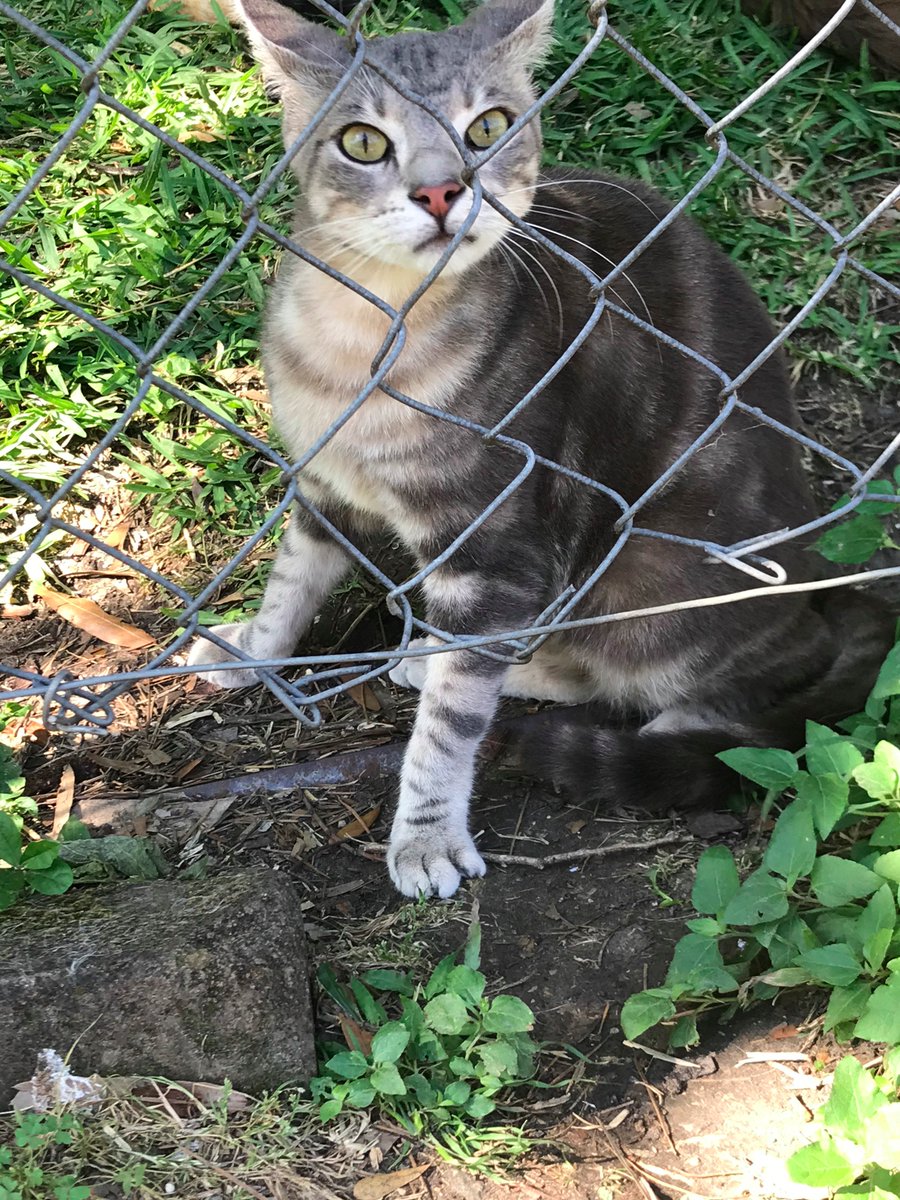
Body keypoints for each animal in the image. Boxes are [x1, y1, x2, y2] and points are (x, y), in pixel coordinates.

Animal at [190, 0, 897, 897]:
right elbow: (291, 580)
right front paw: (252, 649)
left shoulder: (499, 550)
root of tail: (820, 584)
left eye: (487, 128)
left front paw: (425, 835)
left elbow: (451, 722)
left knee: (722, 701)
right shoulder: (323, 484)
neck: (364, 335)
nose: (441, 190)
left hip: (652, 581)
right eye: (362, 142)